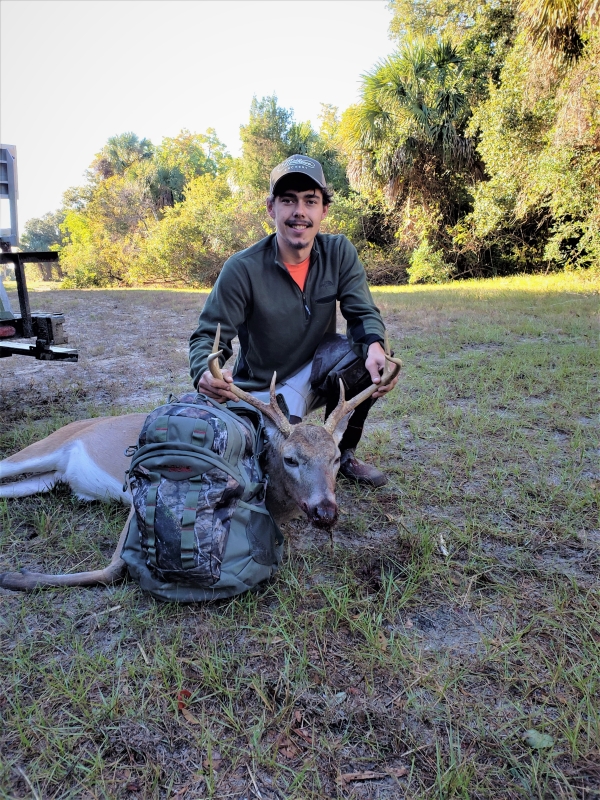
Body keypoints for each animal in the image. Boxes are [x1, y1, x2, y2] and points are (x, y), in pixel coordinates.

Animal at [1, 326, 404, 592]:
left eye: (336, 458)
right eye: (291, 459)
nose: (325, 511)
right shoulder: (140, 486)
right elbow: (113, 570)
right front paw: (17, 577)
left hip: (49, 478)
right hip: (43, 448)